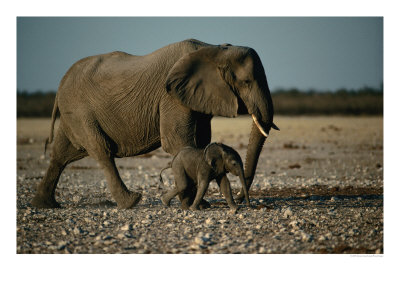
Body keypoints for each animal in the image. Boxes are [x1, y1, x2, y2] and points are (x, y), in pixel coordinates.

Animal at [32, 39, 278, 209]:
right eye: (246, 82)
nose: (242, 198)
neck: (214, 48)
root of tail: (61, 83)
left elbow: (201, 142)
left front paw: (201, 204)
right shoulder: (170, 97)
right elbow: (177, 141)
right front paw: (194, 205)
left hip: (72, 112)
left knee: (61, 154)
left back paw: (45, 205)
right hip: (80, 111)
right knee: (101, 150)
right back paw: (131, 202)